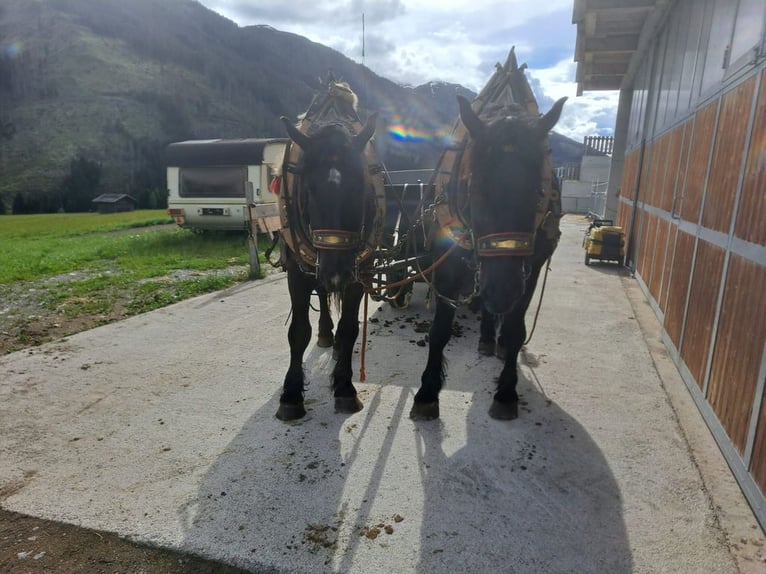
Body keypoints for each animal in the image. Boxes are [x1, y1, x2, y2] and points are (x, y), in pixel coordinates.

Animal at [275, 81, 383, 421]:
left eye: (361, 186)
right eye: (308, 189)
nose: (336, 272)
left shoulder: (360, 271)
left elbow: (349, 330)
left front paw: (345, 387)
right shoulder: (297, 271)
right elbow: (298, 332)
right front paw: (291, 395)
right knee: (321, 295)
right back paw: (325, 332)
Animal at [409, 94, 566, 421]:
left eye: (538, 192)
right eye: (477, 188)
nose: (503, 291)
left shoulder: (531, 267)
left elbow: (516, 327)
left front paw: (506, 392)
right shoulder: (447, 257)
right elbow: (439, 330)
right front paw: (427, 391)